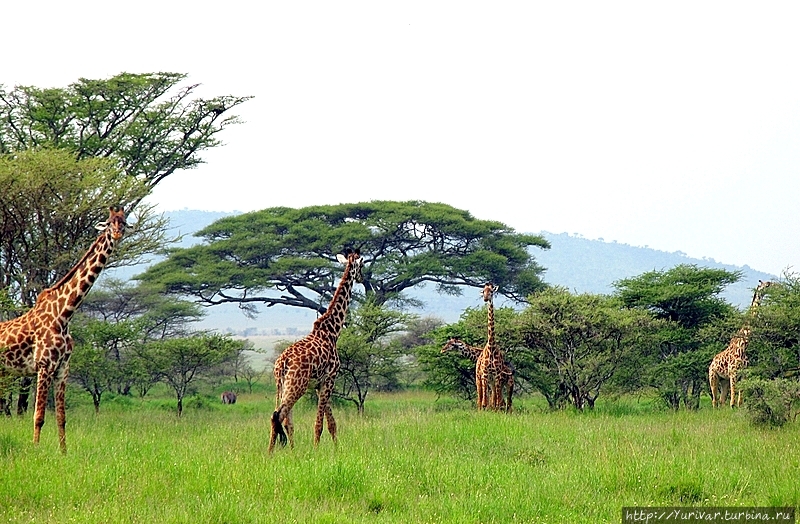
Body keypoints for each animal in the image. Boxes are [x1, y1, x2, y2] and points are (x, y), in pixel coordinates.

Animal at [0, 207, 130, 452]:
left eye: (124, 222)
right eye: (109, 223)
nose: (117, 234)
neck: (65, 314)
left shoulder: (63, 369)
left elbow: (61, 418)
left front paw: (63, 453)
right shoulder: (44, 366)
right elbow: (38, 416)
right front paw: (36, 450)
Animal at [270, 249, 368, 450]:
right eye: (362, 264)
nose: (363, 278)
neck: (332, 331)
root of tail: (282, 363)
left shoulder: (319, 384)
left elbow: (332, 423)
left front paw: (337, 449)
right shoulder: (330, 378)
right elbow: (319, 423)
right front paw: (316, 450)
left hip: (282, 385)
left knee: (283, 419)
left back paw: (285, 451)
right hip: (297, 385)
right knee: (279, 415)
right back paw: (274, 452)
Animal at [708, 280, 772, 408]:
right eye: (765, 284)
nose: (771, 284)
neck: (743, 345)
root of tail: (711, 363)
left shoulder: (744, 374)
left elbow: (740, 396)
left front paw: (739, 407)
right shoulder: (733, 373)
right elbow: (733, 396)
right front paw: (733, 407)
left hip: (724, 380)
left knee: (722, 400)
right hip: (713, 377)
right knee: (714, 400)